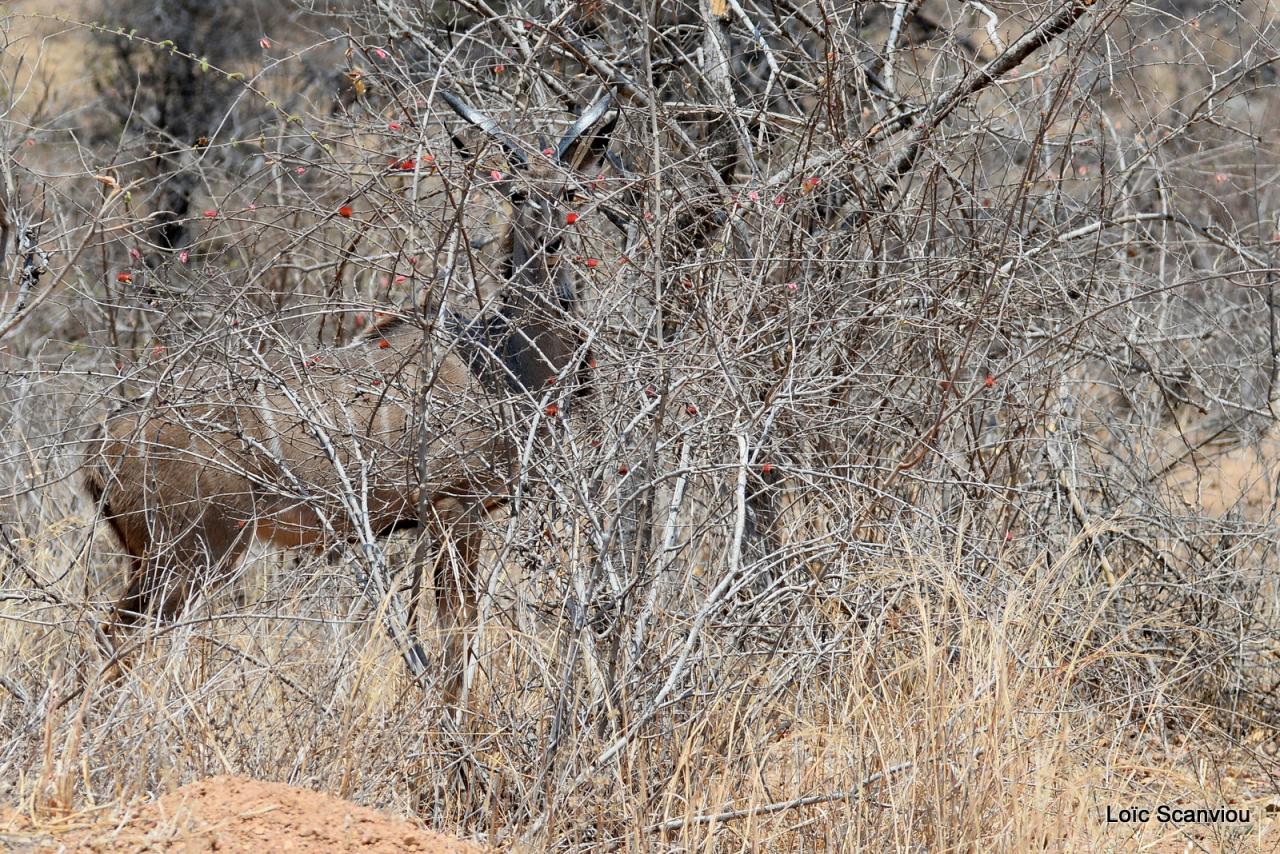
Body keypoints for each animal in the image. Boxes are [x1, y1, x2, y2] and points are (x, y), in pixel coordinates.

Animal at [85, 90, 619, 701]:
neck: (502, 362)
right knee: (114, 638)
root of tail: (100, 448)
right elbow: (456, 632)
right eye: (518, 193)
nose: (554, 242)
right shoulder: (454, 508)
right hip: (192, 552)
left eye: (572, 193)